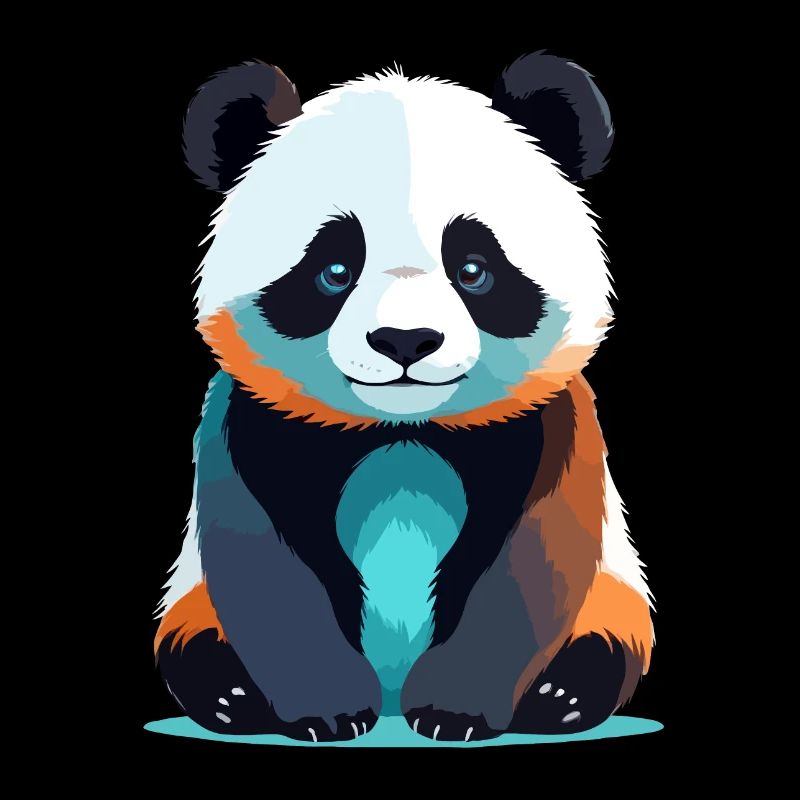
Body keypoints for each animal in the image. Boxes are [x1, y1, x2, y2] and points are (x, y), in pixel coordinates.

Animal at [154, 53, 654, 743]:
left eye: (473, 268)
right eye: (334, 270)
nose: (405, 341)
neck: (403, 430)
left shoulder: (551, 421)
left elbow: (526, 558)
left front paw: (453, 711)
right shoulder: (249, 420)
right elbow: (268, 564)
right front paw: (329, 712)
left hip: (612, 594)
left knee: (605, 640)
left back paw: (563, 694)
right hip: (191, 601)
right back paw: (232, 693)